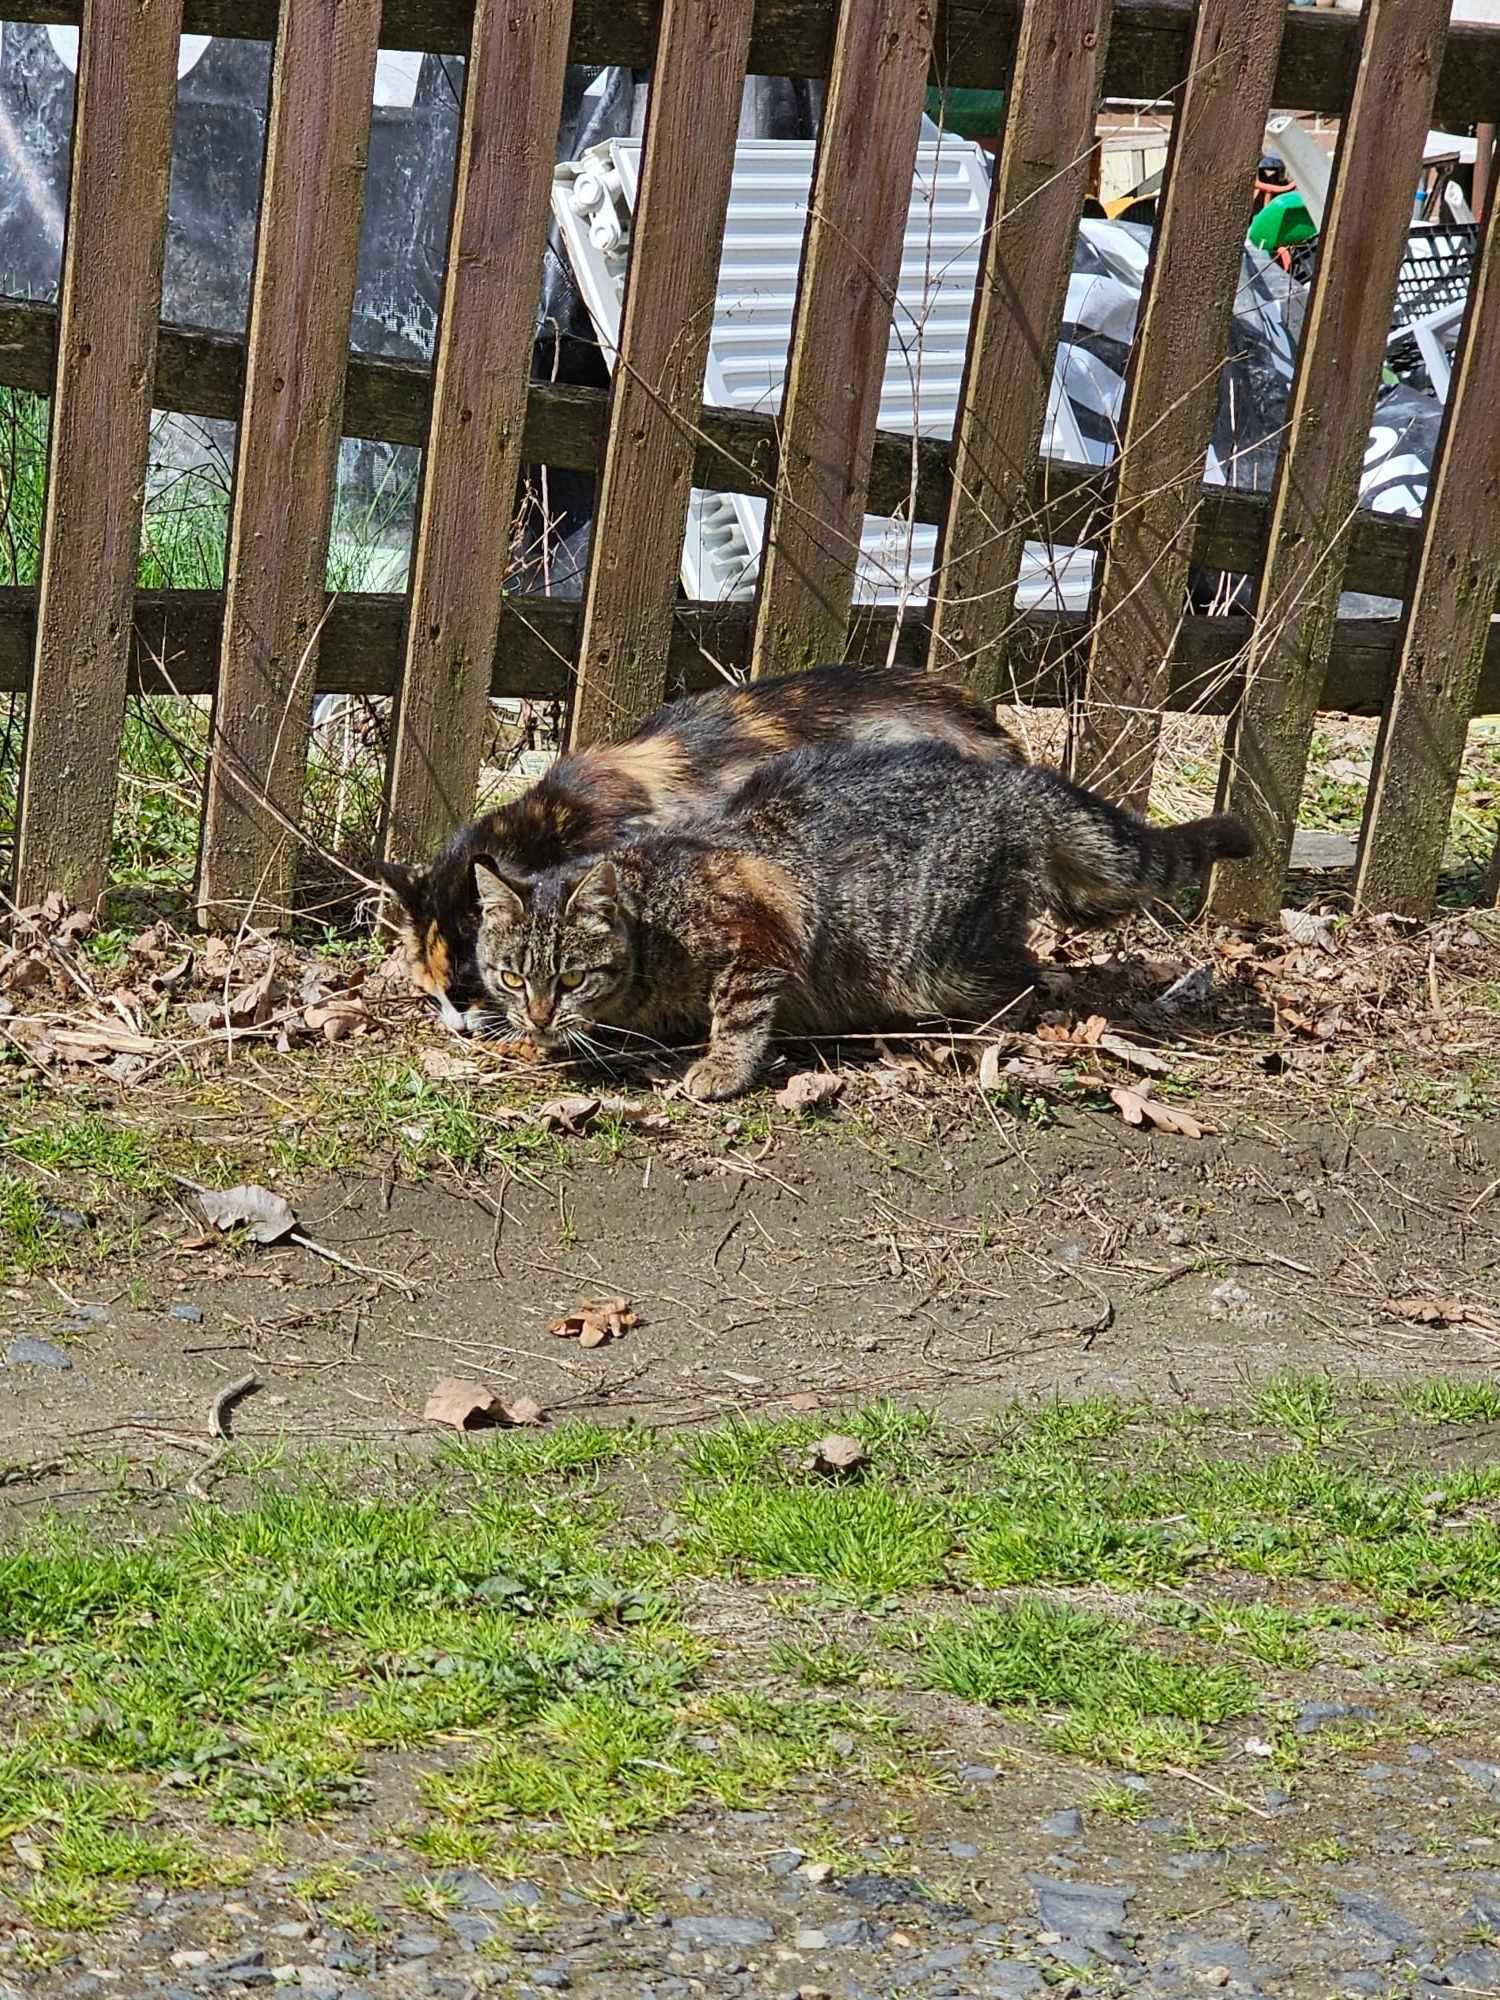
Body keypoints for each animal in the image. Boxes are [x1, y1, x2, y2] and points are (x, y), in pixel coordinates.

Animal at [472, 744, 1256, 1104]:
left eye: (571, 977)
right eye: (510, 977)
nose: (537, 1016)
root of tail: (1012, 780)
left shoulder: (759, 939)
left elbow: (738, 1014)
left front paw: (720, 1067)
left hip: (940, 959)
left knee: (1032, 975)